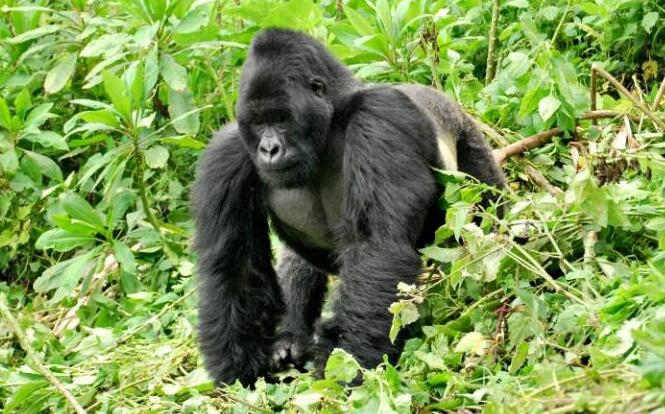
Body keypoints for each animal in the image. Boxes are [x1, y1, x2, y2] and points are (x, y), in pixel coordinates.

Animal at [191, 28, 504, 384]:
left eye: (281, 119)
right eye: (258, 123)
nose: (269, 149)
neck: (329, 122)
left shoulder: (377, 118)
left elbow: (375, 246)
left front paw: (349, 361)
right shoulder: (227, 154)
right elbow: (236, 269)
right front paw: (239, 369)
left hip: (469, 142)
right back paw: (291, 337)